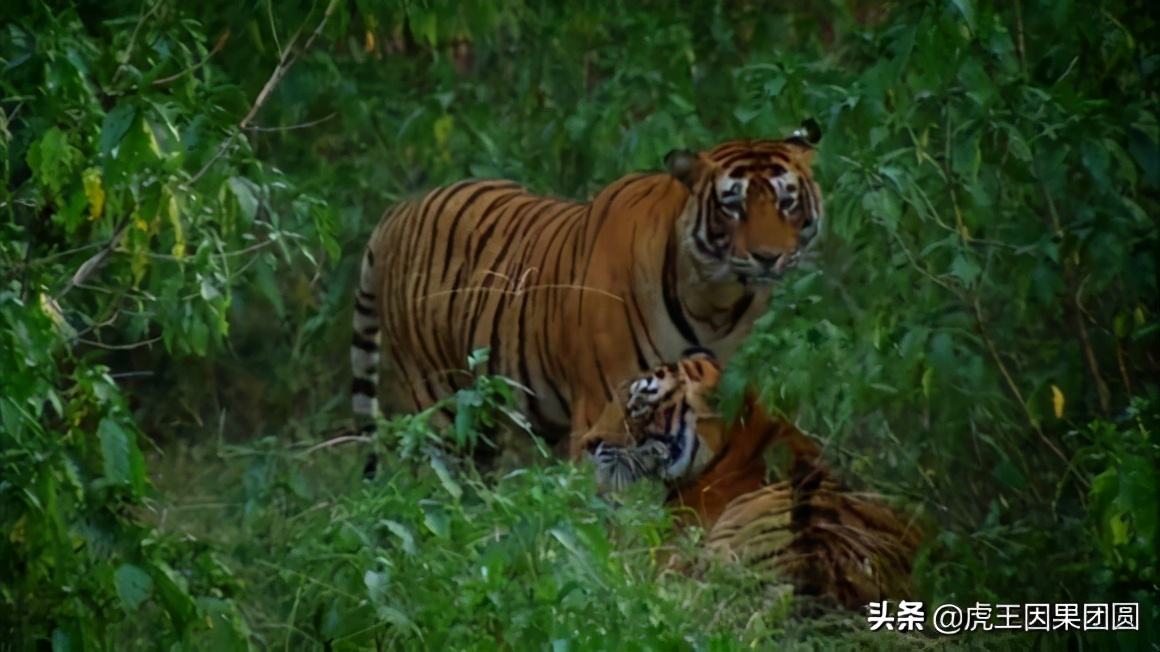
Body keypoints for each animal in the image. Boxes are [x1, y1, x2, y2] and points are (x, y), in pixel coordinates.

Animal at [352, 122, 825, 457]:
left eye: (786, 201)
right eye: (732, 205)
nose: (769, 257)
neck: (715, 302)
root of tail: (399, 210)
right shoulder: (603, 400)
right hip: (443, 403)